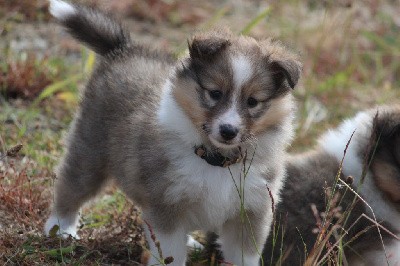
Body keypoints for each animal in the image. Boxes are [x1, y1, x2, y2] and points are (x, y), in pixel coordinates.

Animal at [44, 1, 300, 264]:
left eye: (252, 102)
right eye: (215, 93)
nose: (228, 131)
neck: (217, 160)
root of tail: (124, 50)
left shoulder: (250, 211)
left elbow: (242, 256)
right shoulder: (167, 205)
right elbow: (171, 253)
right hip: (90, 150)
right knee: (71, 186)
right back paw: (61, 229)